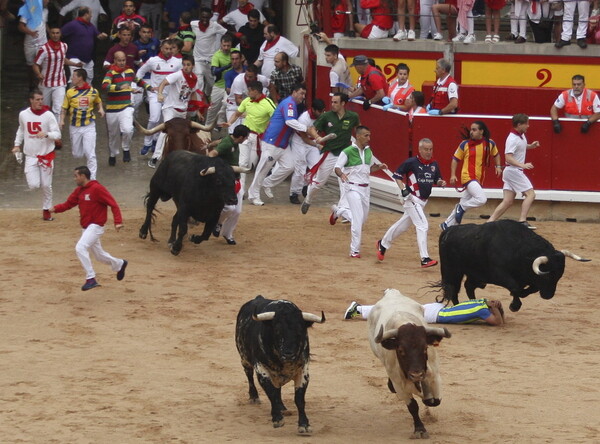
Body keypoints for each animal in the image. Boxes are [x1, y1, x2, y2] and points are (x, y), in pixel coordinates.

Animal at [236, 296, 328, 436]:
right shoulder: (261, 369)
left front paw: (304, 425)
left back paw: (282, 408)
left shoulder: (303, 370)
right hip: (244, 358)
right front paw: (277, 419)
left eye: (300, 331)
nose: (289, 354)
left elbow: (299, 399)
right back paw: (254, 397)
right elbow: (272, 393)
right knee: (249, 375)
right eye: (277, 330)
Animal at [438, 219, 588, 310]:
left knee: (468, 286)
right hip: (452, 271)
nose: (548, 296)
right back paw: (459, 308)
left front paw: (521, 294)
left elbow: (530, 288)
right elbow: (515, 287)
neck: (520, 251)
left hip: (476, 274)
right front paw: (514, 306)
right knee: (453, 289)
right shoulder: (499, 274)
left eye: (559, 277)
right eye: (547, 276)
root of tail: (448, 231)